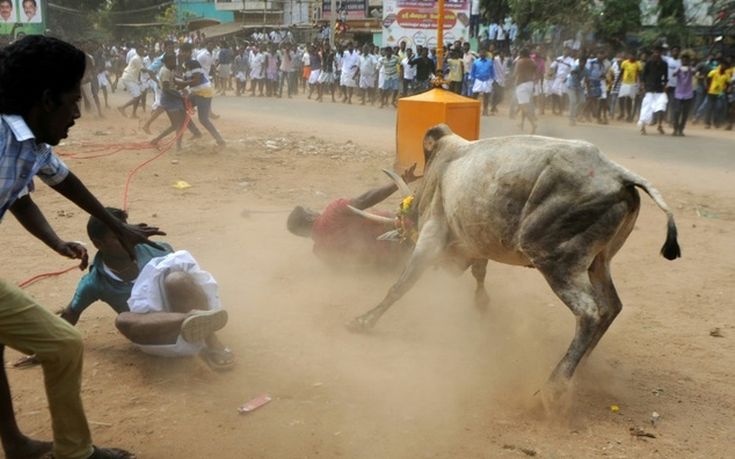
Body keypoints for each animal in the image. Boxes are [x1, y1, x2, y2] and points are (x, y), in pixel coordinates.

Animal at [348, 124, 680, 394]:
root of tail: (618, 175)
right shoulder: (475, 245)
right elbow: (479, 274)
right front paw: (482, 307)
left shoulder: (432, 234)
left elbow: (401, 285)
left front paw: (364, 320)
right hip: (600, 261)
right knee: (611, 307)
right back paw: (580, 368)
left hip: (555, 260)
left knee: (589, 312)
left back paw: (553, 388)